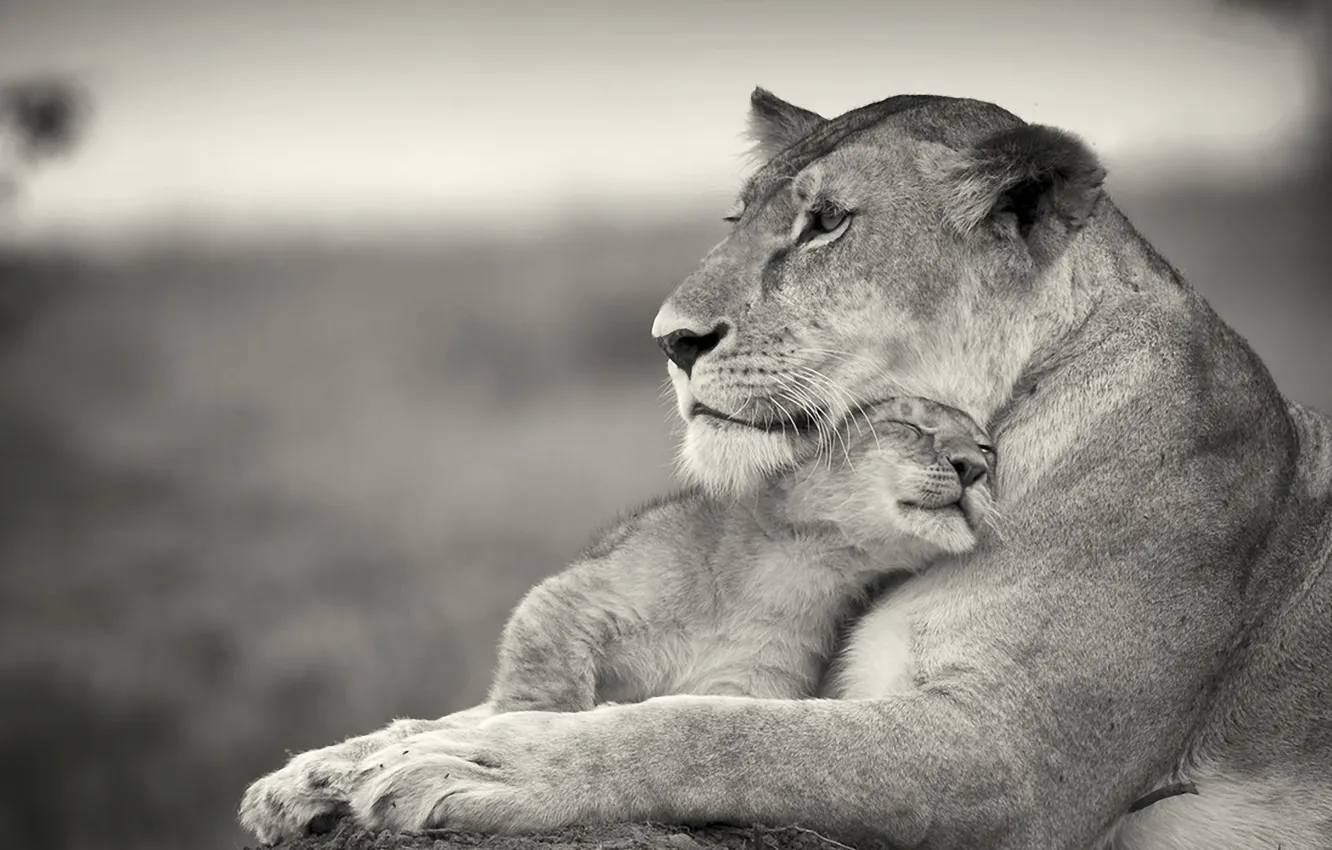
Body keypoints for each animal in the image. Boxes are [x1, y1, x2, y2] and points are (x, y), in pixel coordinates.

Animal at [239, 89, 1332, 850]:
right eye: (740, 220)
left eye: (827, 222)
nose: (671, 340)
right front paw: (330, 770)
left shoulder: (1018, 759)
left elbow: (724, 733)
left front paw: (483, 764)